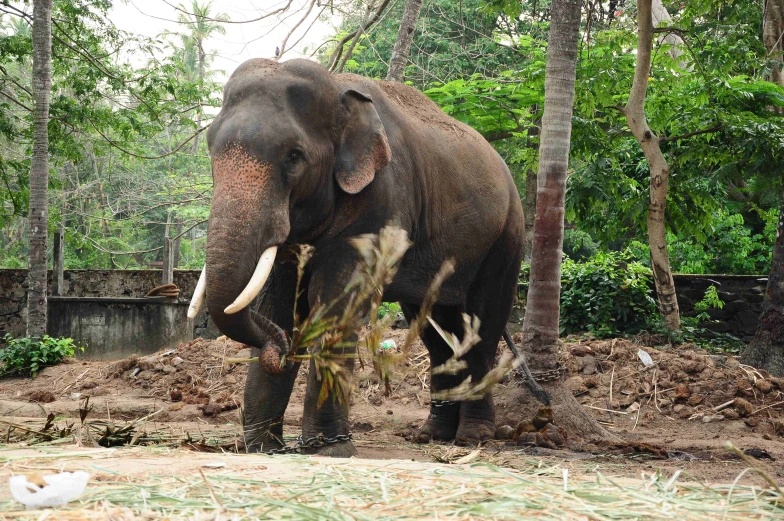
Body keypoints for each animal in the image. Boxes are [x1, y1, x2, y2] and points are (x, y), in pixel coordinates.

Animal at [187, 58, 524, 456]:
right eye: (211, 149)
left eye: (294, 156)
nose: (280, 352)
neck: (337, 89)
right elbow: (277, 303)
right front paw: (263, 447)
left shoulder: (381, 201)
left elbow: (339, 302)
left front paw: (329, 449)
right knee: (436, 332)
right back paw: (432, 435)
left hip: (505, 238)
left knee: (483, 325)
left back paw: (473, 436)